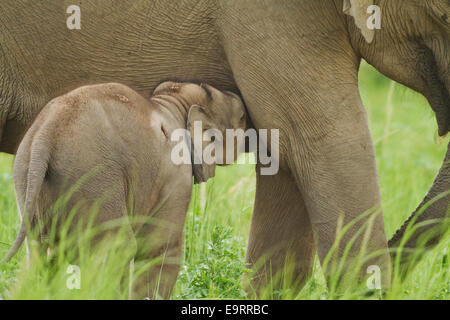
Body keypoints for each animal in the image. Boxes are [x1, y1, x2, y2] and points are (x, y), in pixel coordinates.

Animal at [1, 81, 248, 298]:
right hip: (94, 181)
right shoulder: (176, 176)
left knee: (40, 254)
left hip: (28, 179)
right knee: (118, 248)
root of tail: (45, 136)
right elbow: (159, 249)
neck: (173, 101)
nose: (244, 106)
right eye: (242, 117)